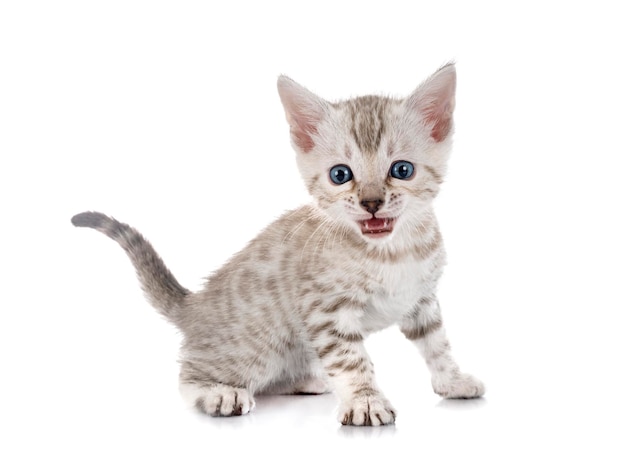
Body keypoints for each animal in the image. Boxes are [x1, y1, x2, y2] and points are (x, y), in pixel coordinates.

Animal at [72, 63, 482, 426]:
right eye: (340, 175)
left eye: (402, 170)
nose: (371, 203)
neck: (394, 252)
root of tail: (195, 305)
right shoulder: (325, 312)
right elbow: (351, 360)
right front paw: (365, 401)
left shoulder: (422, 300)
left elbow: (437, 343)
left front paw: (452, 381)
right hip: (256, 348)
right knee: (190, 376)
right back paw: (220, 392)